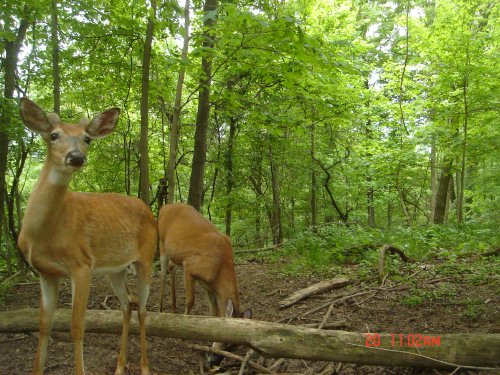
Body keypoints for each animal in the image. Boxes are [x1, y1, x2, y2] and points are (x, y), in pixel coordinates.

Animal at [18, 97, 156, 375]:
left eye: (87, 139)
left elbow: (77, 327)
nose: (76, 157)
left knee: (144, 308)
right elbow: (44, 325)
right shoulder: (45, 272)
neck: (42, 233)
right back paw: (119, 366)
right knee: (128, 303)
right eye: (53, 135)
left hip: (147, 258)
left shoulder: (81, 265)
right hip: (116, 269)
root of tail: (149, 210)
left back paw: (145, 367)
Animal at [158, 203, 252, 368]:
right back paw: (161, 308)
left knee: (171, 268)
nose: (213, 362)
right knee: (161, 274)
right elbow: (190, 301)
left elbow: (214, 313)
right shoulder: (190, 267)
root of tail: (164, 207)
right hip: (162, 243)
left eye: (233, 348)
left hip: (173, 254)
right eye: (226, 341)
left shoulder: (210, 287)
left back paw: (174, 308)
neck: (220, 268)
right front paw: (181, 336)